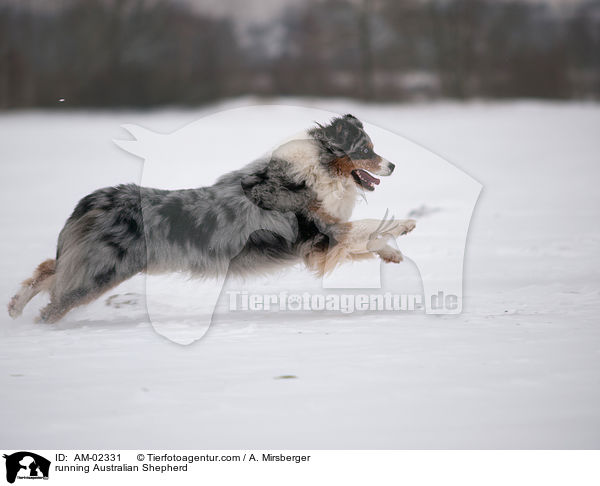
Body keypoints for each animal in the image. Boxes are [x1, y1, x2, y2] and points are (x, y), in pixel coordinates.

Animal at [7, 114, 414, 322]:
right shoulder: (322, 233)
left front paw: (392, 254)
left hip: (90, 265)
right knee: (53, 302)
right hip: (100, 273)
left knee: (48, 269)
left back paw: (14, 307)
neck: (319, 167)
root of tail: (92, 200)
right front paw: (404, 225)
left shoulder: (324, 245)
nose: (394, 165)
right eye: (365, 150)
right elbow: (367, 226)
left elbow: (364, 240)